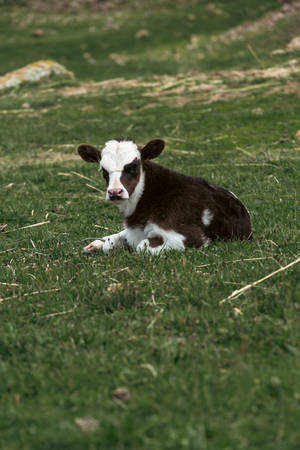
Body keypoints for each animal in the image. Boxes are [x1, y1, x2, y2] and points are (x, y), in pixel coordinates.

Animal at [77, 139, 251, 255]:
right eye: (104, 170)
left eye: (133, 167)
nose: (115, 192)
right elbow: (113, 242)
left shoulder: (187, 236)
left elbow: (142, 247)